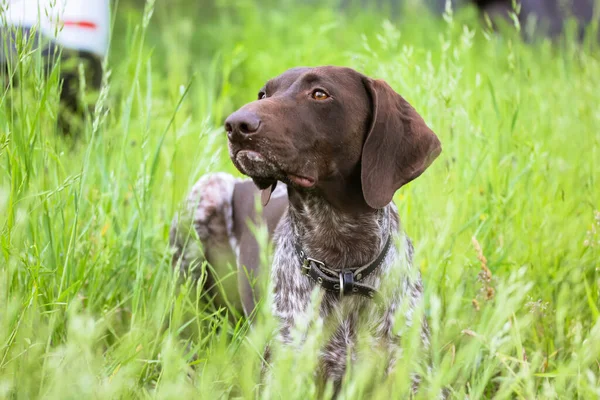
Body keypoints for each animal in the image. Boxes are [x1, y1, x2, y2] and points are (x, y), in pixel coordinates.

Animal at [169, 66, 440, 394]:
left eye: (320, 94)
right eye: (264, 94)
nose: (235, 124)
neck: (342, 262)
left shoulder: (417, 377)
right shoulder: (288, 374)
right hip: (206, 194)